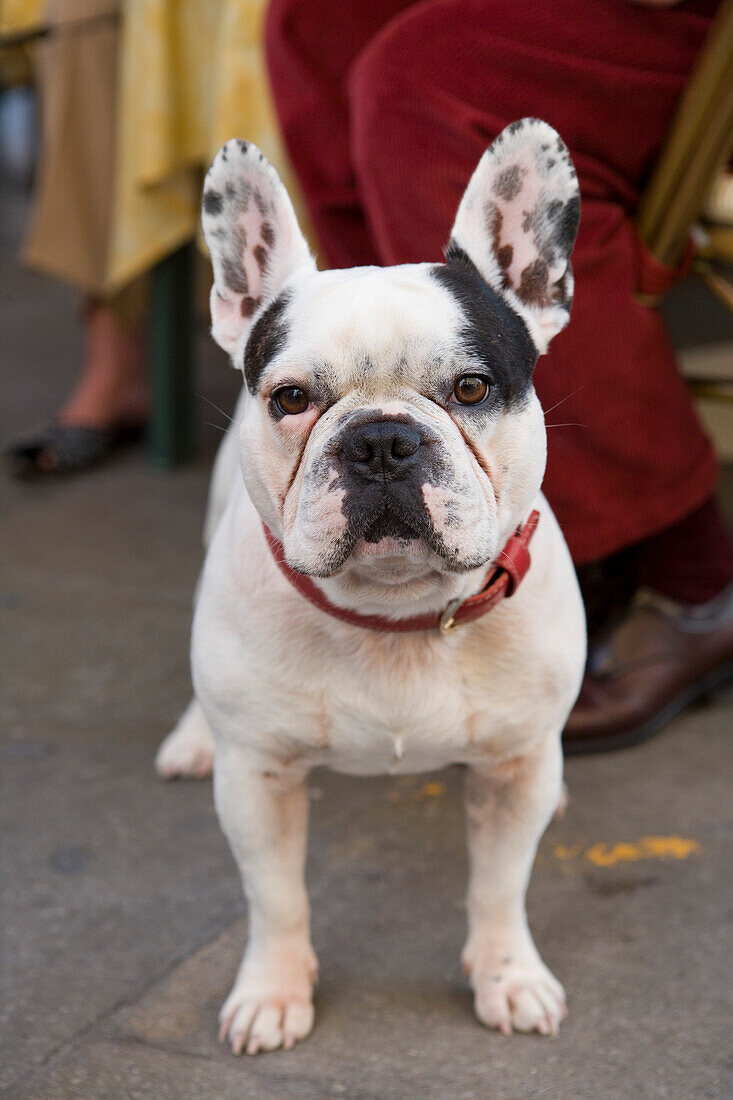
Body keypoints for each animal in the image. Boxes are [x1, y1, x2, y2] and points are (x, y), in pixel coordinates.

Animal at [157, 120, 585, 1056]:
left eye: (471, 387)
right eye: (289, 398)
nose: (381, 439)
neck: (396, 616)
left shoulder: (513, 774)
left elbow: (499, 886)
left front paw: (508, 978)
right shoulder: (258, 781)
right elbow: (274, 898)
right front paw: (273, 992)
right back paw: (191, 735)